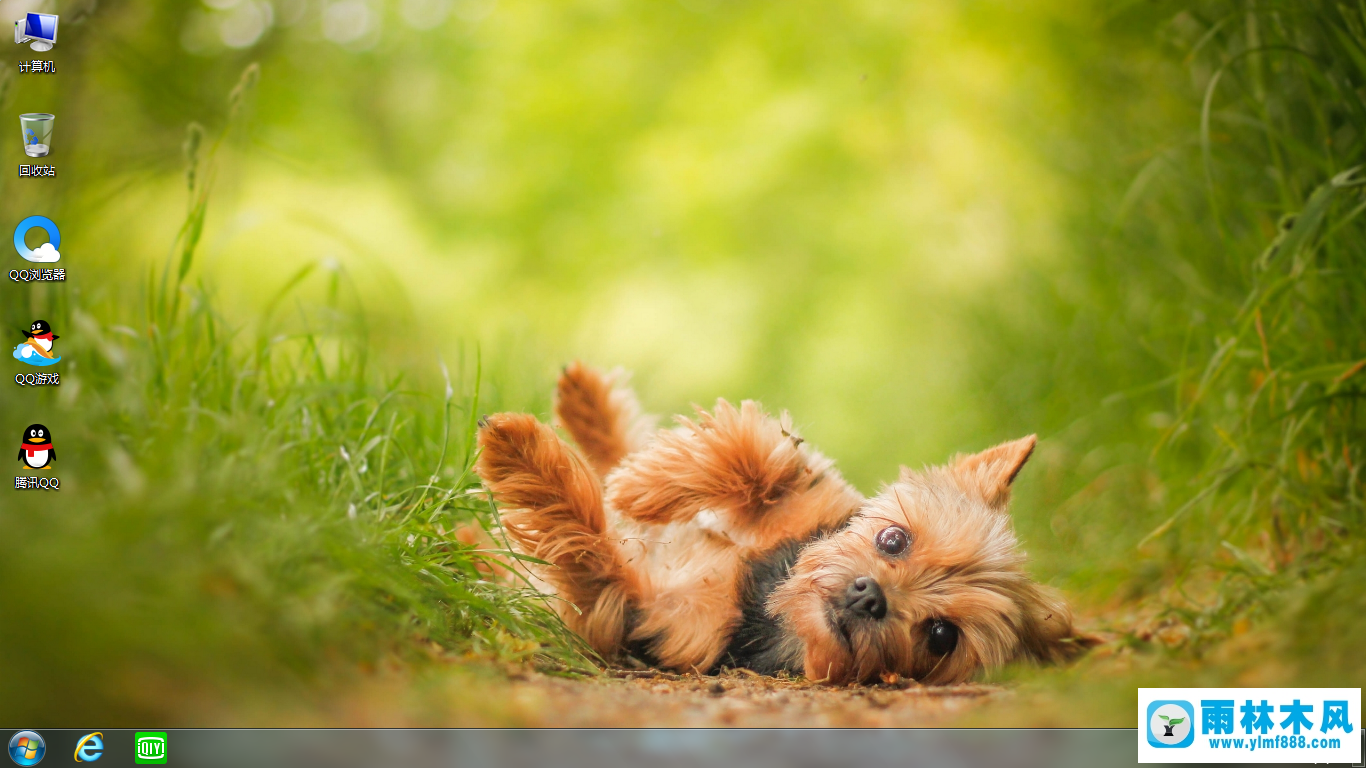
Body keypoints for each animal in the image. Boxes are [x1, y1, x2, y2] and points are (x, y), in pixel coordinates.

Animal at [475, 360, 1092, 677]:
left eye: (941, 636)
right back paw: (587, 403)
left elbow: (587, 542)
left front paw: (520, 452)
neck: (764, 598)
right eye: (894, 539)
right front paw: (643, 486)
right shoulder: (804, 498)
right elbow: (762, 458)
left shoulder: (631, 609)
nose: (872, 597)